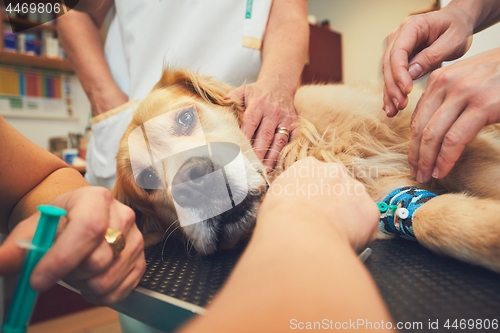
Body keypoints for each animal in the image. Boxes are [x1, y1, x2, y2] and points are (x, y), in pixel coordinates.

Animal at [113, 68, 500, 272]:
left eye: (185, 118)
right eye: (147, 180)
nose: (193, 185)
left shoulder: (426, 135)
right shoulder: (383, 199)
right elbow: (433, 219)